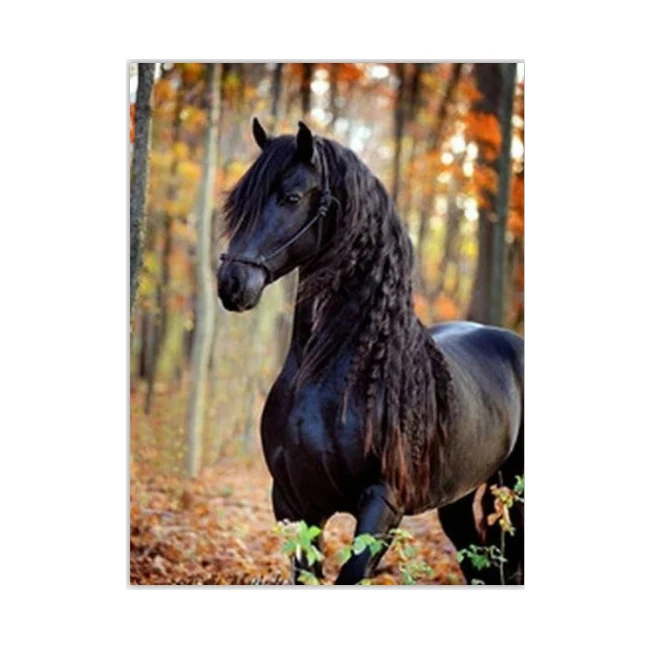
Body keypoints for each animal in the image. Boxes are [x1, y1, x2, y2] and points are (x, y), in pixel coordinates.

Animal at [216, 119, 524, 585]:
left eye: (291, 197)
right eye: (238, 201)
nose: (231, 284)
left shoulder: (383, 504)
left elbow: (351, 572)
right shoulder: (293, 503)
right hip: (457, 498)